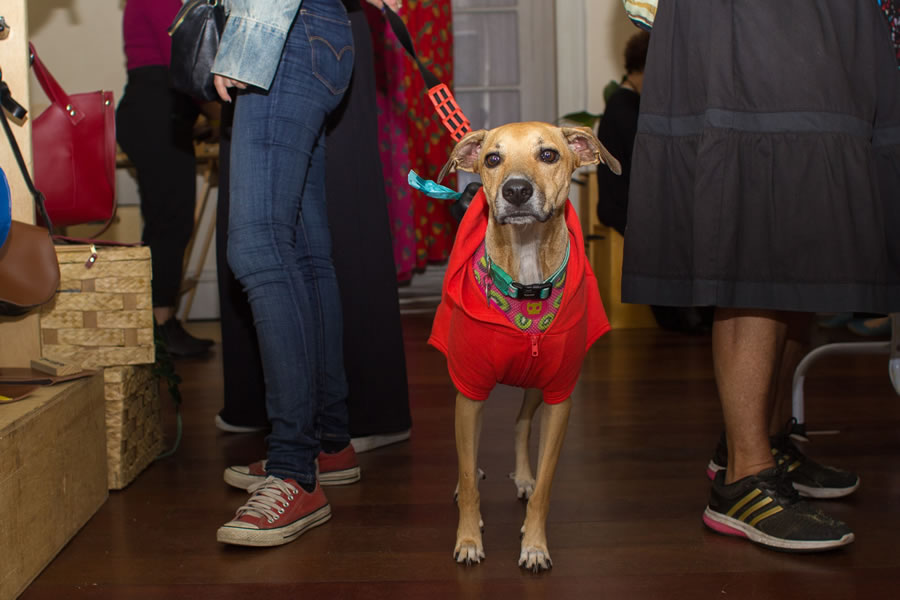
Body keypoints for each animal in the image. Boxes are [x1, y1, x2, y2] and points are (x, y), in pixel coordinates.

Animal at [432, 122, 624, 572]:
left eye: (549, 155)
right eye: (493, 158)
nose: (516, 191)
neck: (526, 280)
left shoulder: (559, 397)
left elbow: (546, 486)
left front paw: (535, 544)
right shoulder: (469, 390)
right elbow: (467, 471)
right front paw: (468, 538)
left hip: (535, 385)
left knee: (521, 424)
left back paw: (522, 476)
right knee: (470, 453)